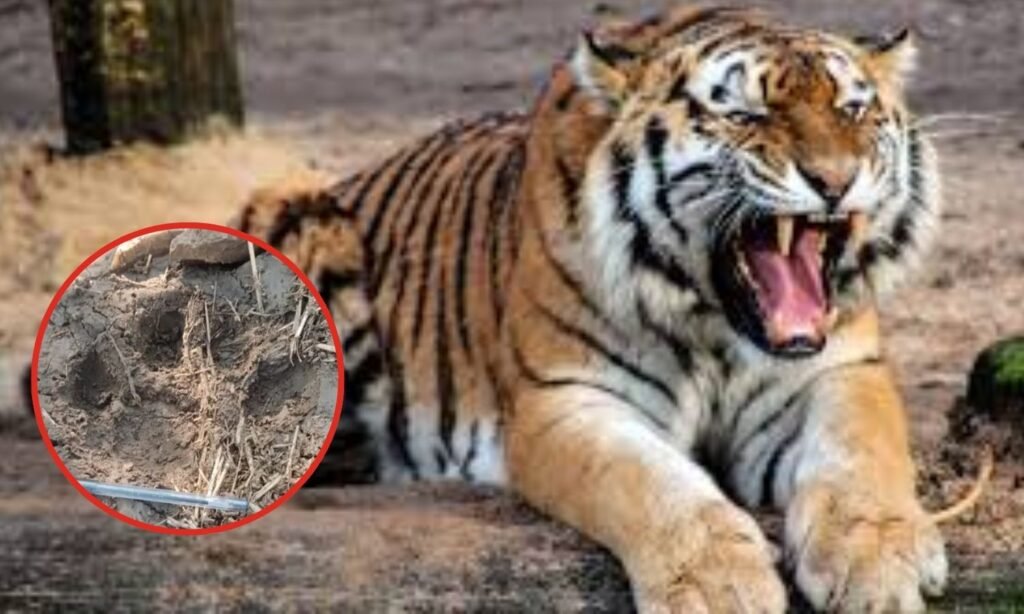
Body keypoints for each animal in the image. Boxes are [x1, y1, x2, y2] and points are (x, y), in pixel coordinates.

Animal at [237, 7, 948, 612]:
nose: (836, 180)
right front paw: (718, 583)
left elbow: (862, 452)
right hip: (294, 209)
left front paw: (879, 557)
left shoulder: (838, 371)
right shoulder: (565, 398)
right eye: (746, 114)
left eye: (853, 110)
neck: (716, 323)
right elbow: (648, 482)